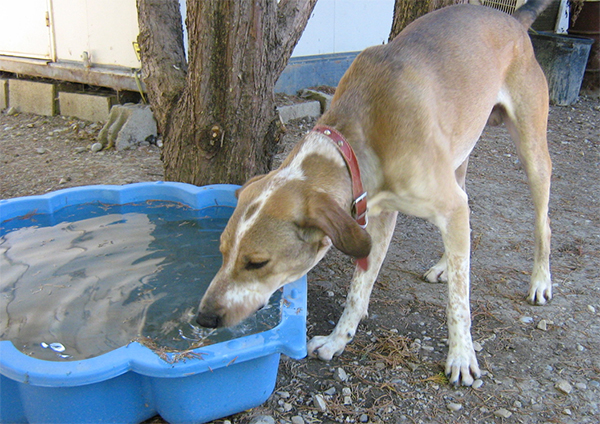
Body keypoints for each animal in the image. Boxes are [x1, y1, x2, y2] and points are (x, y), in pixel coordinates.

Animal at [197, 0, 552, 388]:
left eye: (257, 263)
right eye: (222, 251)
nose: (203, 318)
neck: (358, 135)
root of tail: (513, 19)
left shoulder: (440, 206)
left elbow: (458, 302)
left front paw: (461, 355)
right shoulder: (378, 216)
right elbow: (358, 288)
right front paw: (338, 339)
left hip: (532, 154)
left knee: (541, 224)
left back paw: (540, 281)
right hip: (459, 160)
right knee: (464, 218)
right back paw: (445, 264)